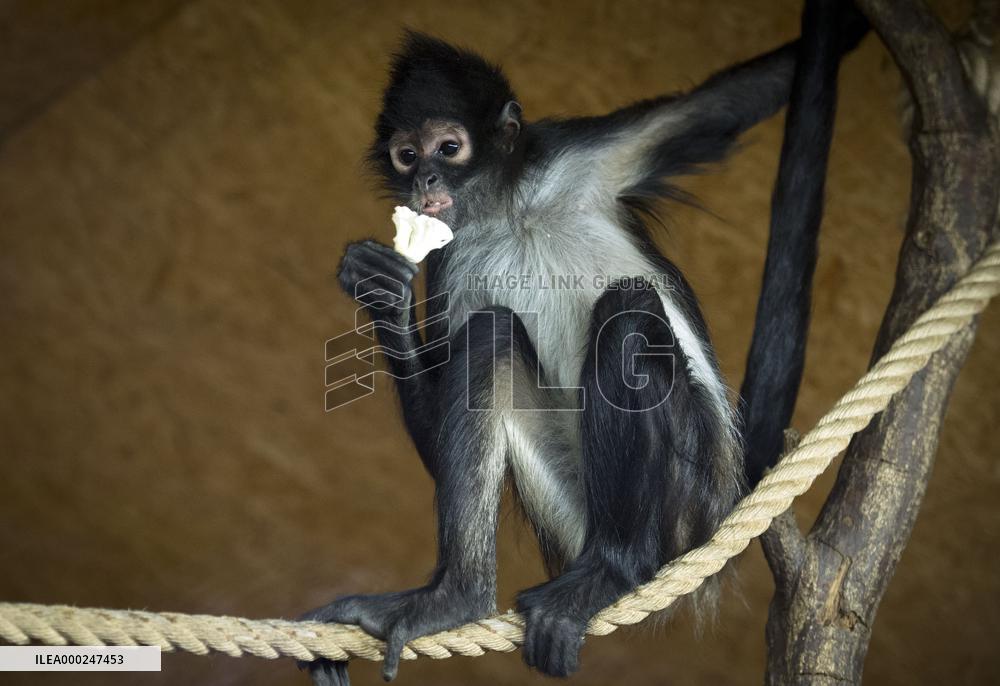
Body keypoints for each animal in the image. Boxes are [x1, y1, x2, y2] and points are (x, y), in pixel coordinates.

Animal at [302, 3, 865, 684]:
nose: (427, 178)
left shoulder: (573, 153)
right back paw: (456, 599)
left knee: (626, 315)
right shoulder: (451, 259)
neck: (510, 210)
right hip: (576, 508)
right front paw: (378, 290)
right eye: (407, 155)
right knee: (493, 332)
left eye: (448, 147)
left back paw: (614, 569)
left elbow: (730, 104)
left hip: (691, 491)